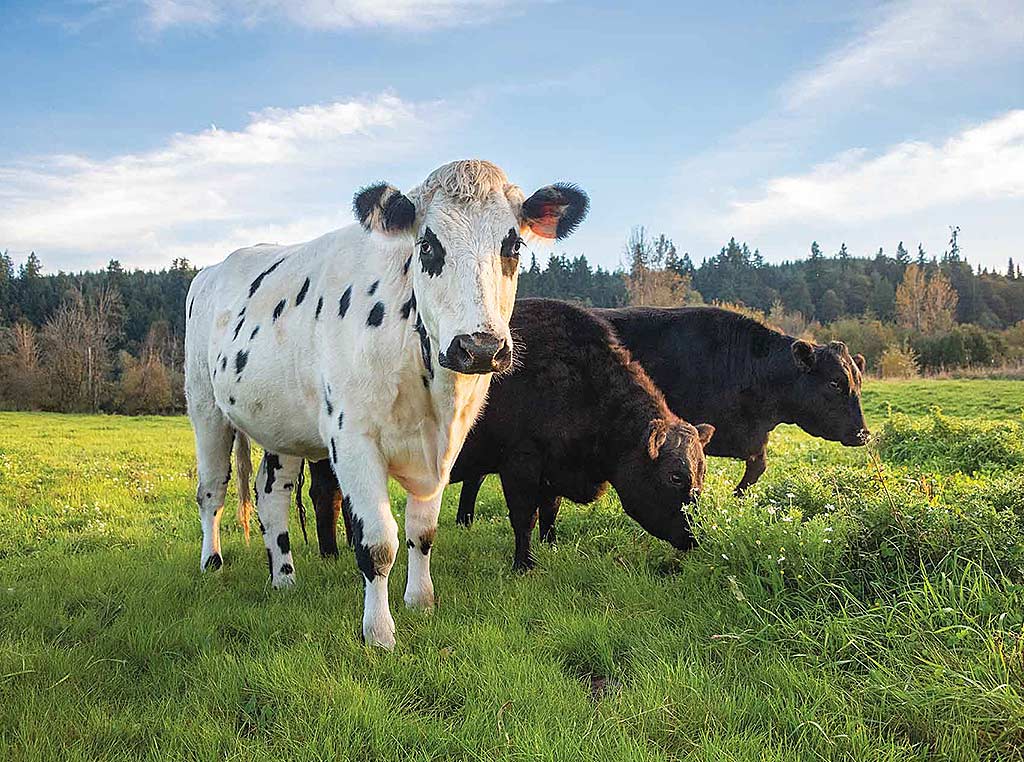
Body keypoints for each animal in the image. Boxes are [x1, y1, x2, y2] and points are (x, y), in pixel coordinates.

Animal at [182, 160, 585, 647]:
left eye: (514, 245)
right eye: (427, 245)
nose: (480, 347)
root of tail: (214, 268)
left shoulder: (446, 446)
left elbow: (423, 530)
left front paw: (421, 601)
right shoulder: (352, 439)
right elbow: (377, 541)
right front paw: (378, 633)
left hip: (282, 425)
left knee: (271, 493)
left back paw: (284, 579)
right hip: (205, 407)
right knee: (212, 490)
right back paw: (212, 565)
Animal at [303, 301, 712, 569]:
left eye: (701, 474)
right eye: (675, 477)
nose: (696, 537)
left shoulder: (552, 468)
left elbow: (549, 510)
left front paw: (550, 545)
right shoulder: (521, 462)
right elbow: (524, 515)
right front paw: (525, 563)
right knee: (327, 498)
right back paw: (330, 554)